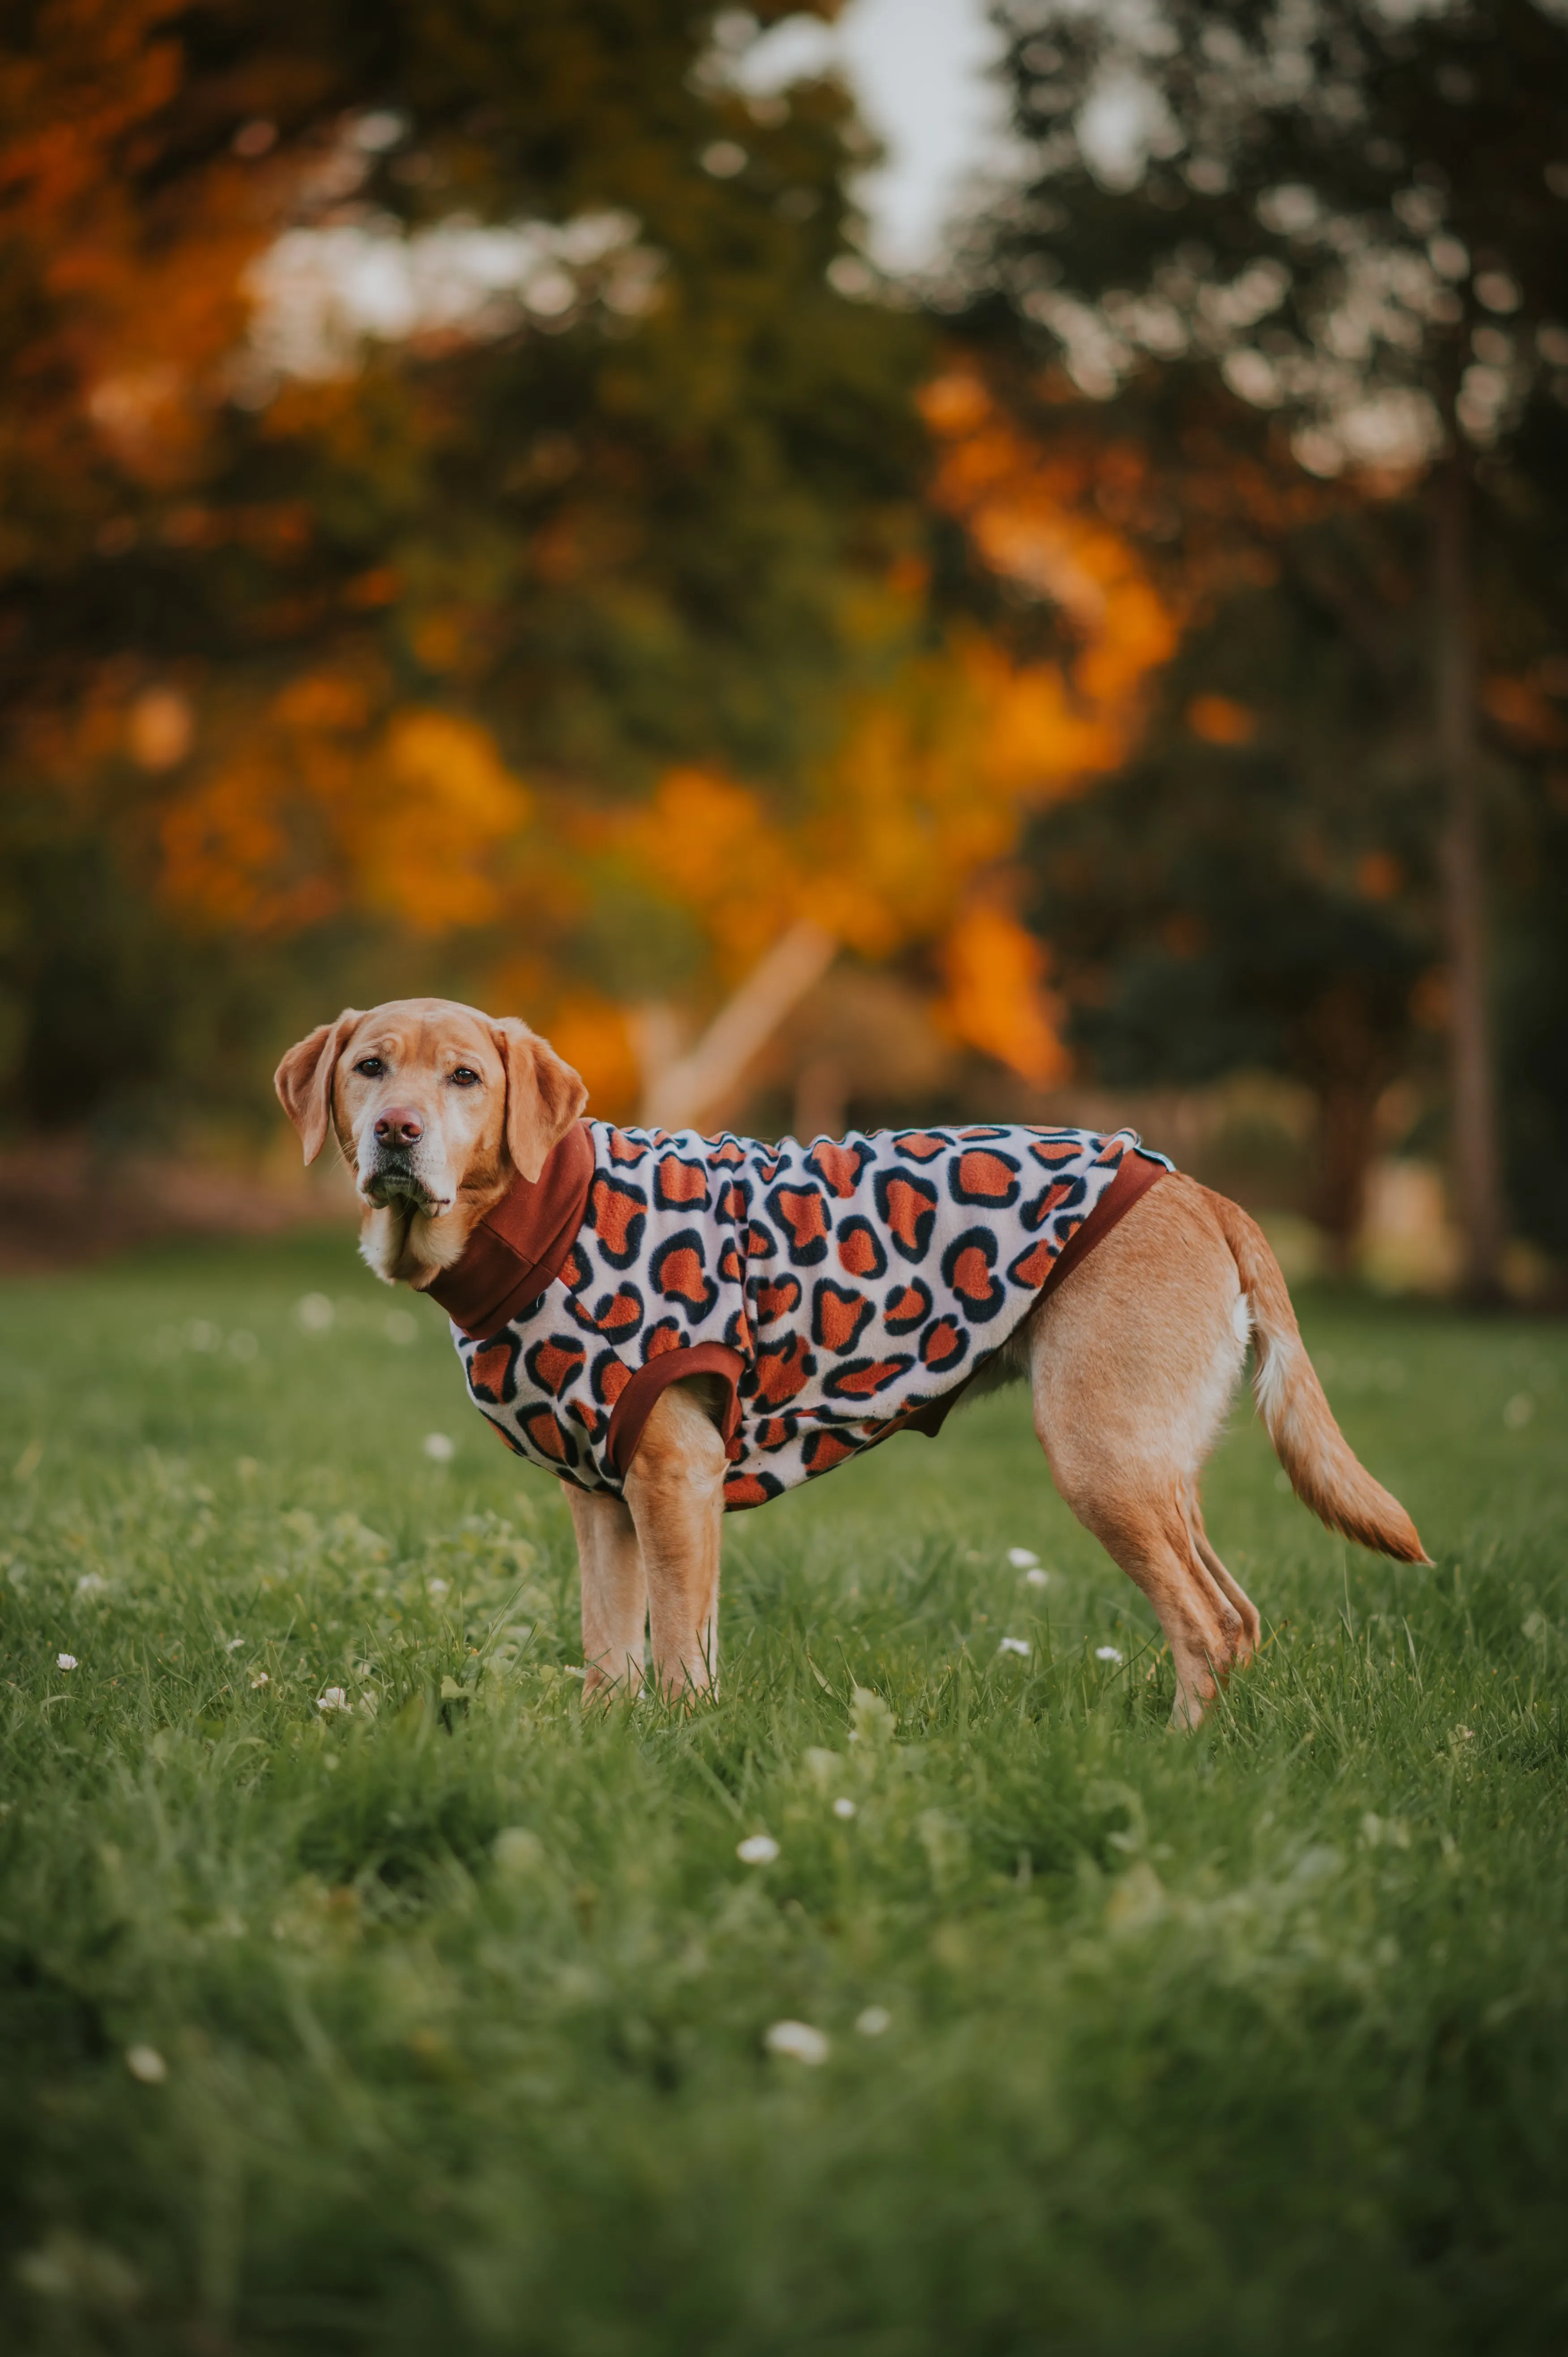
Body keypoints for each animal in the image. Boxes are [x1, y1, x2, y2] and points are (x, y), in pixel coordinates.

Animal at [274, 985, 1424, 1725]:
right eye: (370, 1067)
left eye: (466, 1077)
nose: (397, 1131)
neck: (536, 1211)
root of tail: (1195, 1186)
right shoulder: (603, 1497)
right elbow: (614, 1652)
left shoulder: (672, 1476)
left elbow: (677, 1656)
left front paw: (679, 1755)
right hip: (1152, 1467)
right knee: (1237, 1614)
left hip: (1099, 1454)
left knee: (1205, 1624)